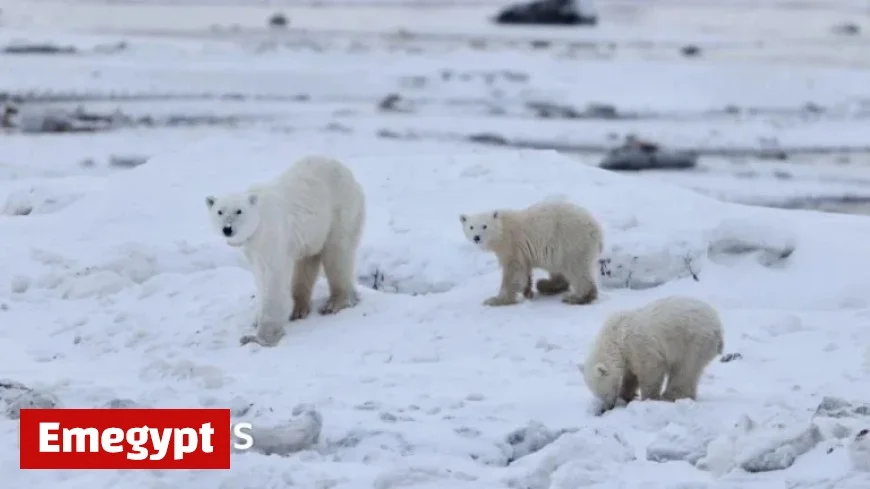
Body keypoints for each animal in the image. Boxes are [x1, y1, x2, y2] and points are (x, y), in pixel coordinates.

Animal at [205, 155, 366, 347]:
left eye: (239, 211)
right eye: (219, 211)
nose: (227, 229)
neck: (259, 223)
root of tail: (348, 173)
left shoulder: (272, 235)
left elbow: (273, 277)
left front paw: (261, 336)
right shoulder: (253, 249)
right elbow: (260, 277)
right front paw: (257, 319)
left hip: (340, 211)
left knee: (337, 254)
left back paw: (335, 303)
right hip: (314, 230)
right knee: (307, 260)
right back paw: (299, 308)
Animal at [459, 200, 603, 306]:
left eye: (484, 226)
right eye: (471, 227)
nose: (476, 237)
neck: (502, 230)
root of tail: (597, 228)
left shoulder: (512, 245)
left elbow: (512, 271)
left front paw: (496, 300)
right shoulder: (521, 251)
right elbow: (524, 270)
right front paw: (527, 291)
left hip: (571, 241)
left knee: (576, 269)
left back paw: (577, 297)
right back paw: (546, 285)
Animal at [582, 295, 724, 414]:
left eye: (603, 392)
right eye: (597, 394)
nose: (608, 407)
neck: (615, 337)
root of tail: (718, 326)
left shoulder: (638, 346)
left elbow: (651, 370)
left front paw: (648, 399)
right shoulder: (628, 356)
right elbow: (630, 375)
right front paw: (626, 395)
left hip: (694, 342)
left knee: (684, 370)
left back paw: (670, 396)